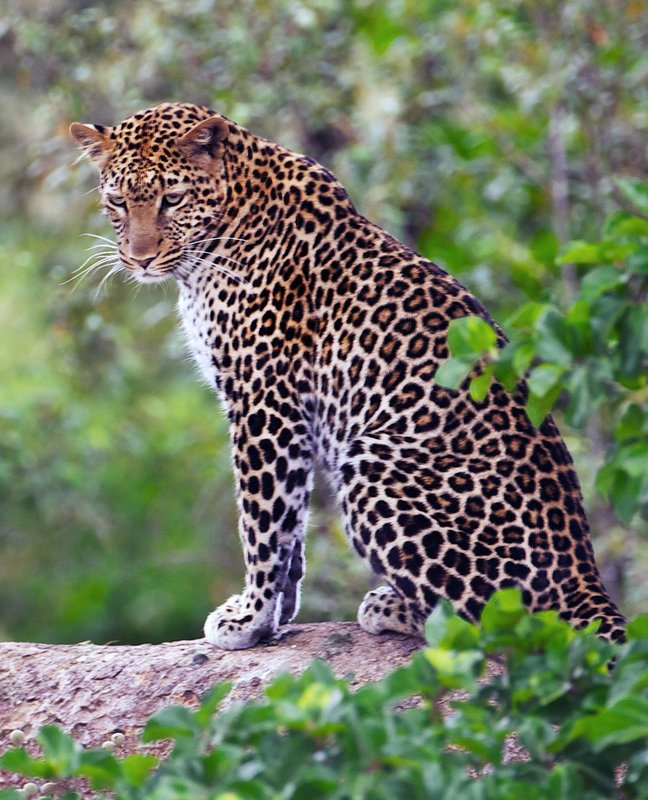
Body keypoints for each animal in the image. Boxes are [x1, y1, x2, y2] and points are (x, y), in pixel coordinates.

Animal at [70, 102, 626, 650]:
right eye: (117, 203)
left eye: (173, 199)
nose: (139, 259)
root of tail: (587, 582)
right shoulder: (285, 415)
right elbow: (290, 522)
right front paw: (275, 615)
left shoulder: (264, 400)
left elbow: (261, 521)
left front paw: (248, 618)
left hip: (372, 464)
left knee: (512, 629)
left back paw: (391, 608)